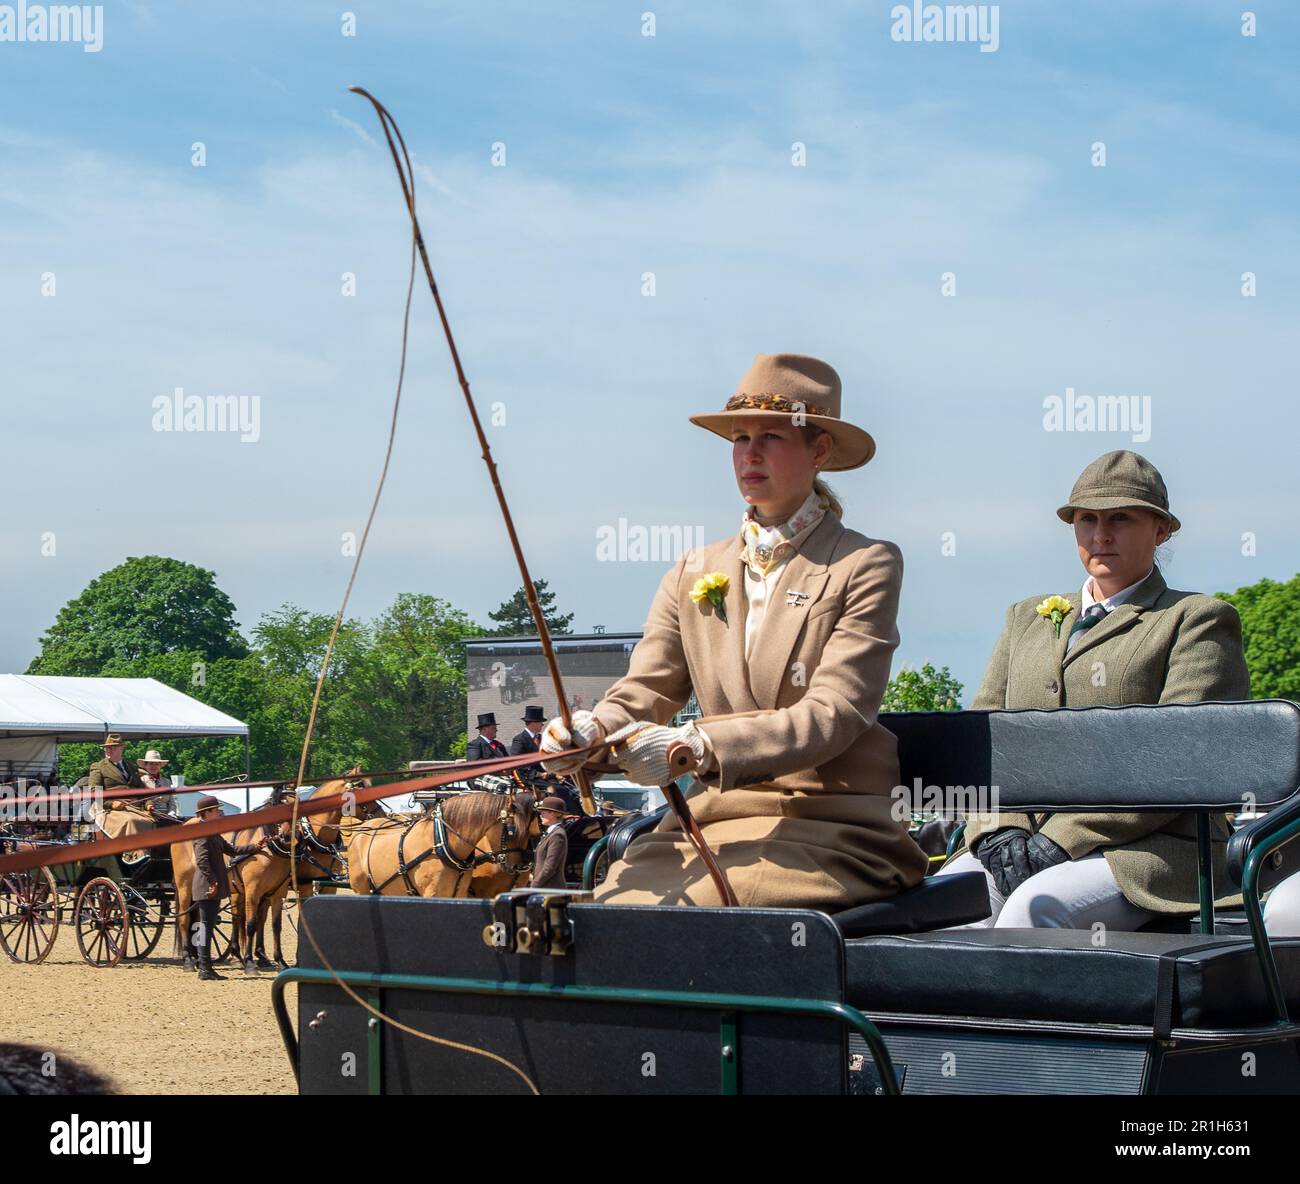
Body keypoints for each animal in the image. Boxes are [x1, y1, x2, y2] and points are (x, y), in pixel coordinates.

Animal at [340, 785, 538, 899]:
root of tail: (360, 832)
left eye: (530, 830)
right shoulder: (433, 893)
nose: (517, 866)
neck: (442, 843)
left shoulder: (459, 894)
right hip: (361, 889)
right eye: (511, 830)